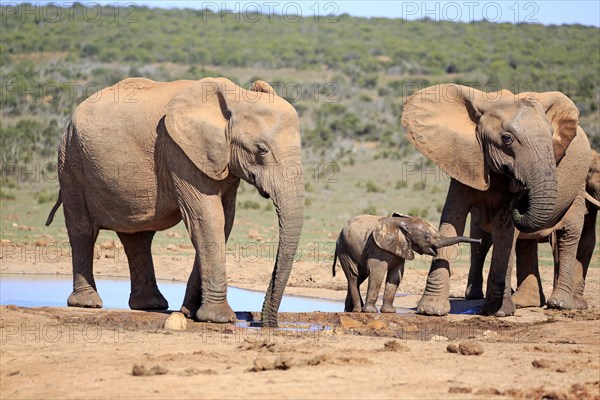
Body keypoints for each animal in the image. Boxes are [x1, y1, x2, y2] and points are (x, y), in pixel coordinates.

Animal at [45, 76, 304, 326]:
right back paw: (87, 303)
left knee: (137, 237)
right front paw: (219, 318)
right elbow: (207, 219)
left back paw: (150, 305)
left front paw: (190, 312)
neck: (234, 98)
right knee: (83, 230)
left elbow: (224, 221)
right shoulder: (181, 153)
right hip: (70, 158)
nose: (266, 323)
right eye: (261, 150)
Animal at [330, 214, 480, 314]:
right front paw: (371, 312)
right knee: (354, 276)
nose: (479, 240)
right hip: (344, 249)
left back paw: (350, 310)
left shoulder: (400, 248)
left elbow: (396, 276)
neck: (402, 222)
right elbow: (378, 274)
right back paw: (357, 310)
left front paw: (389, 312)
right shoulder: (376, 247)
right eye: (426, 237)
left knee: (359, 277)